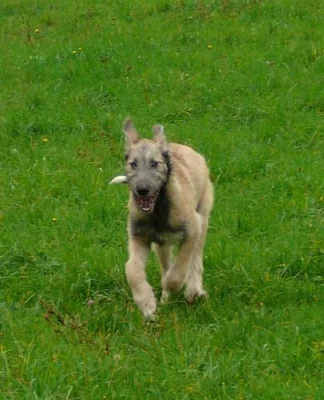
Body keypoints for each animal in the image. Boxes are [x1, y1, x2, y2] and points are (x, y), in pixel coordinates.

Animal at [110, 119, 214, 318]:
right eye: (133, 164)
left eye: (154, 163)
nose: (142, 190)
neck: (158, 211)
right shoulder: (139, 238)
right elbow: (132, 270)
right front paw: (146, 303)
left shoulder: (192, 230)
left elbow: (179, 269)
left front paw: (172, 286)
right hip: (161, 244)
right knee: (166, 264)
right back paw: (167, 298)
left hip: (203, 217)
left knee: (195, 259)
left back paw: (194, 290)